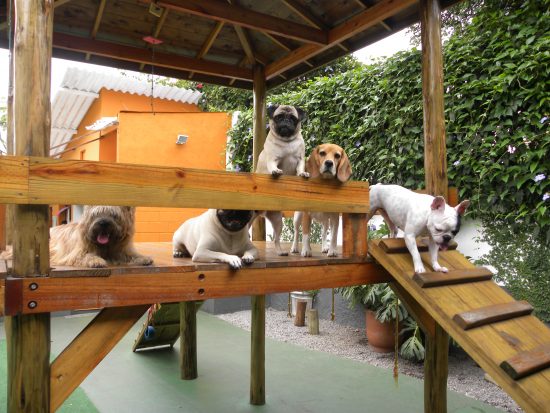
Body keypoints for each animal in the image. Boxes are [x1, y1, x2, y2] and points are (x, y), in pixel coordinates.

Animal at [2, 205, 154, 268]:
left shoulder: (121, 250)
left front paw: (143, 258)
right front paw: (96, 261)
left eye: (114, 215)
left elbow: (131, 255)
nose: (103, 223)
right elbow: (86, 256)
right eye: (96, 214)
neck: (106, 247)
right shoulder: (77, 253)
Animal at [256, 104, 310, 254]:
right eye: (279, 117)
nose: (286, 121)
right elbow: (273, 166)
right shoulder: (273, 159)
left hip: (278, 220)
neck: (287, 142)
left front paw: (302, 174)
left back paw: (281, 251)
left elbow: (300, 168)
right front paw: (275, 171)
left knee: (276, 238)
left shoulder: (300, 160)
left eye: (293, 118)